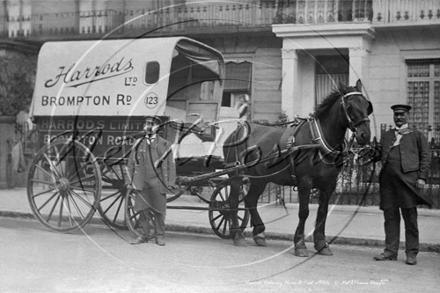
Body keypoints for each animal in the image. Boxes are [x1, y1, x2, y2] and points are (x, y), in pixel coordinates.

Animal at [223, 80, 372, 256]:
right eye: (349, 106)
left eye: (366, 105)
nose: (365, 135)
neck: (318, 141)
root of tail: (236, 131)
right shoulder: (304, 182)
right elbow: (304, 212)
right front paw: (300, 244)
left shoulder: (329, 184)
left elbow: (322, 213)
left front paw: (321, 244)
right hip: (235, 176)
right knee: (233, 201)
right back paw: (238, 236)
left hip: (261, 179)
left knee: (250, 199)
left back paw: (259, 233)